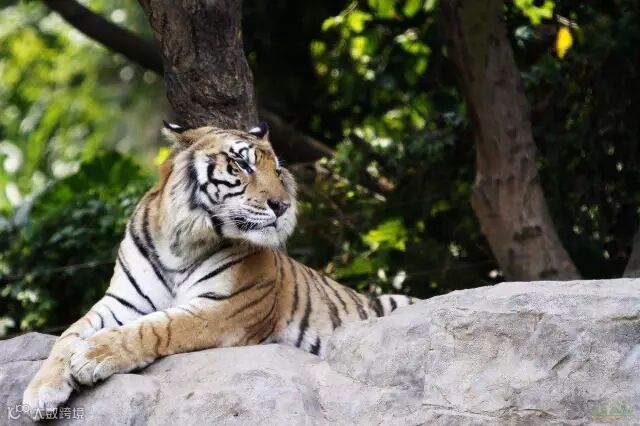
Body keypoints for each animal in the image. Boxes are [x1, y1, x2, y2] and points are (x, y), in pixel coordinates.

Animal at [23, 121, 416, 418]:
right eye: (242, 165)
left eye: (277, 171)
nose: (283, 205)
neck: (180, 242)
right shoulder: (122, 301)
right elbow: (69, 333)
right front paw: (40, 391)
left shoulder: (225, 308)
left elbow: (158, 326)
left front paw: (94, 356)